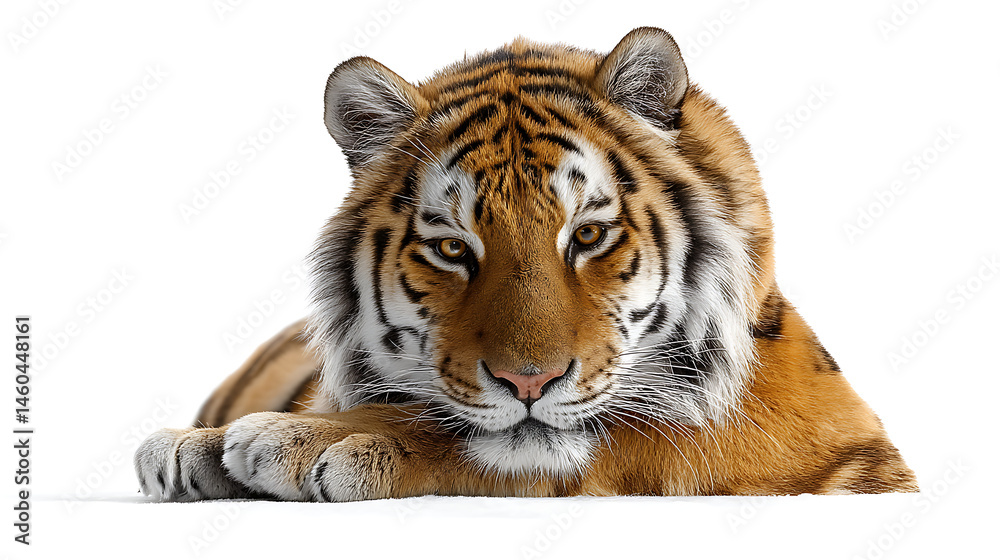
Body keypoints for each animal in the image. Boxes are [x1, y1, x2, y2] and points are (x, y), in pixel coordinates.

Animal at [134, 27, 918, 501]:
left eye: (589, 235)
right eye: (453, 247)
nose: (529, 382)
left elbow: (613, 439)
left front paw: (294, 443)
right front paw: (199, 448)